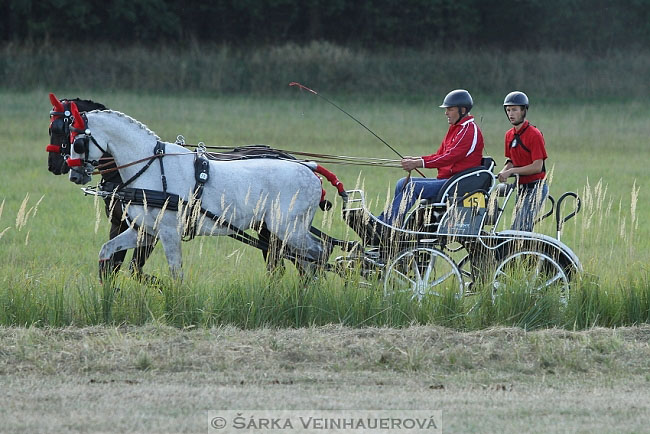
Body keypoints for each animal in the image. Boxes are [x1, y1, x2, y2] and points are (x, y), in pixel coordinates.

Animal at [62, 98, 330, 280]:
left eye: (78, 142)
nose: (74, 175)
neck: (151, 166)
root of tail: (309, 168)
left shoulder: (168, 232)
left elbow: (175, 273)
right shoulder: (145, 232)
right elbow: (107, 252)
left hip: (288, 228)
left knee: (319, 254)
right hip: (283, 230)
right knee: (308, 261)